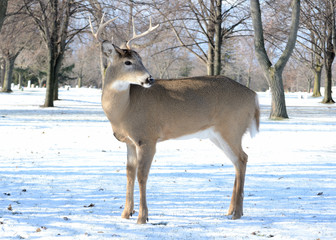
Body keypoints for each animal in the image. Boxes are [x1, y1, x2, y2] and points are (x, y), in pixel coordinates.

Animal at [90, 16, 260, 223]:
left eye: (140, 59)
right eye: (128, 62)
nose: (149, 79)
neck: (124, 109)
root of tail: (254, 96)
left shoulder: (148, 137)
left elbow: (142, 176)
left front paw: (142, 217)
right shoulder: (129, 142)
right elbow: (129, 174)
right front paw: (125, 214)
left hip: (232, 128)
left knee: (243, 158)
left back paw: (237, 213)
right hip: (217, 134)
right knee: (237, 161)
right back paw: (230, 210)